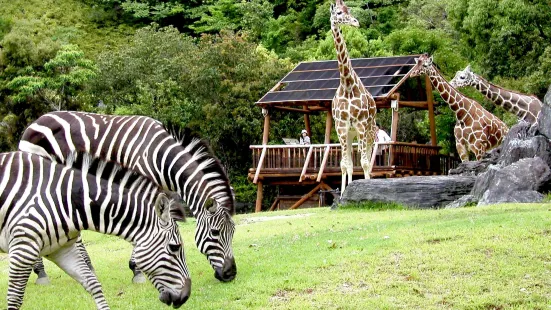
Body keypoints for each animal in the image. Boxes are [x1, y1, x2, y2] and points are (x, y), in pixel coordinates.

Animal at [0, 152, 191, 310]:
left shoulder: (60, 249)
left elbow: (93, 284)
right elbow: (15, 298)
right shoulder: (23, 247)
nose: (186, 296)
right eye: (174, 247)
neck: (67, 199)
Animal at [20, 112, 237, 284]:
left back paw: (84, 267)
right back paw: (42, 274)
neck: (158, 157)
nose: (230, 274)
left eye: (233, 232)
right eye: (215, 233)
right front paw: (138, 270)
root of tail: (36, 121)